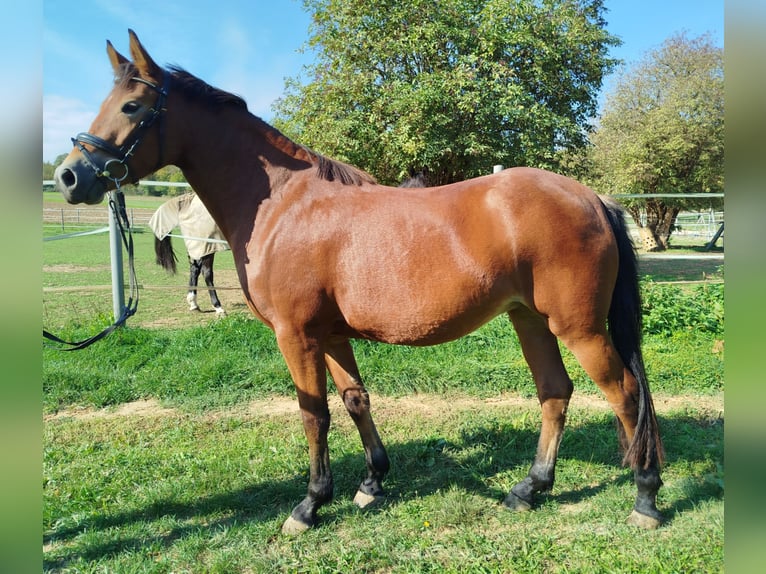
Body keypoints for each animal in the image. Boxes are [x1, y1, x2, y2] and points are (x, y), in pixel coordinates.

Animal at [53, 30, 665, 534]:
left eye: (132, 106)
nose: (69, 176)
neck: (282, 205)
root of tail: (592, 198)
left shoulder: (296, 335)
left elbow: (314, 412)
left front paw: (309, 505)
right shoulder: (329, 334)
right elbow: (354, 399)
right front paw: (371, 483)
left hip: (579, 327)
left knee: (625, 395)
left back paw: (646, 498)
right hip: (530, 319)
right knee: (555, 393)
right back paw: (529, 489)